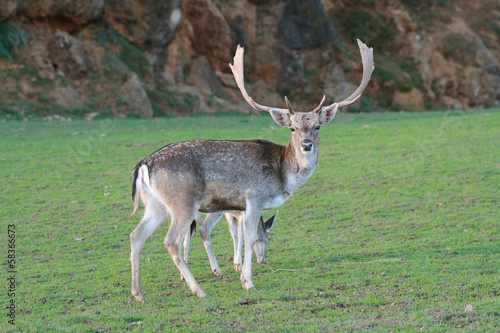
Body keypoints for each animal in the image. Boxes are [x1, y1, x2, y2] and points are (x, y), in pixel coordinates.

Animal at [130, 39, 376, 300]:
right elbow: (249, 237)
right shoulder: (254, 197)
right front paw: (247, 281)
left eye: (318, 126)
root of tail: (144, 164)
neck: (283, 175)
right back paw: (199, 290)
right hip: (183, 202)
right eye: (292, 128)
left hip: (156, 205)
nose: (306, 145)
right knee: (171, 241)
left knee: (136, 236)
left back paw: (138, 293)